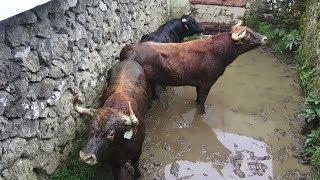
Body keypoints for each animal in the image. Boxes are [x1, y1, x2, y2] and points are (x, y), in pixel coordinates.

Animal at [120, 21, 268, 114]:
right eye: (248, 35)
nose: (265, 38)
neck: (218, 52)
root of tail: (131, 47)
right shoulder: (207, 83)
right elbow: (202, 100)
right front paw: (201, 113)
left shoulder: (200, 84)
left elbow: (198, 98)